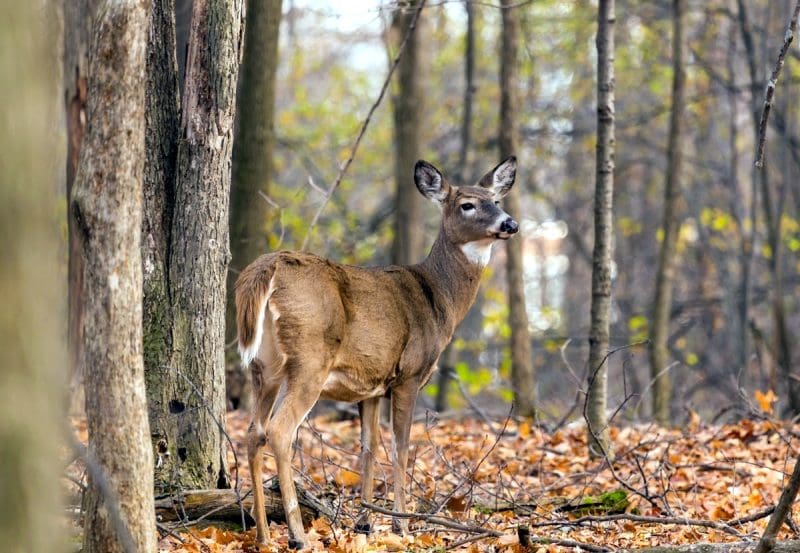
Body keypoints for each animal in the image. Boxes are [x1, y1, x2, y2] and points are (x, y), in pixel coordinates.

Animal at [235, 156, 520, 549]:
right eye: (467, 204)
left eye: (496, 199)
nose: (510, 223)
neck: (440, 299)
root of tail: (266, 269)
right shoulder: (409, 375)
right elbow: (401, 447)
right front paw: (401, 525)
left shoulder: (368, 386)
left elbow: (368, 448)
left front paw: (365, 523)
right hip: (309, 359)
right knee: (280, 430)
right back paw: (297, 536)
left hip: (264, 366)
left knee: (253, 432)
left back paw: (263, 534)